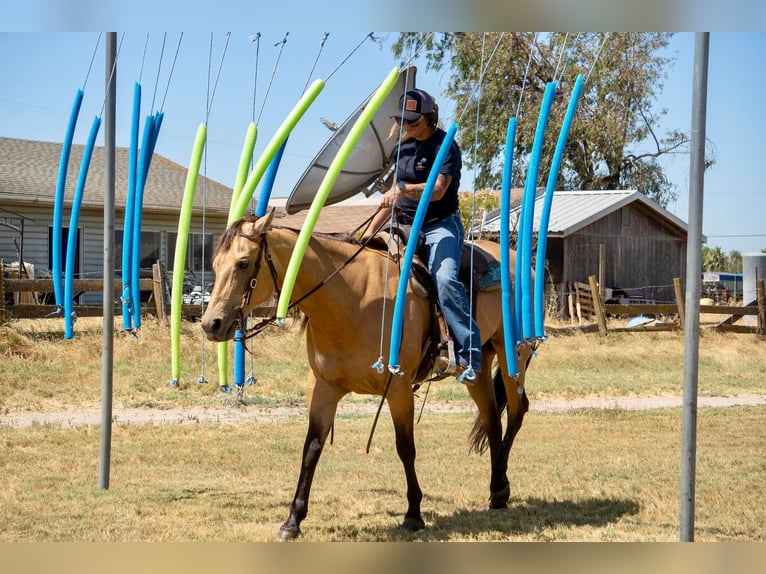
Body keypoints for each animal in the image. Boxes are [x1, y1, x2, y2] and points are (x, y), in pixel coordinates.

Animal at [200, 209, 536, 544]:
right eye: (215, 264)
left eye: (244, 263)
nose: (210, 324)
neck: (352, 300)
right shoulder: (322, 388)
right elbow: (311, 449)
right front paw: (293, 520)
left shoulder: (398, 388)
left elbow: (405, 448)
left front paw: (413, 514)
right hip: (477, 368)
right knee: (492, 418)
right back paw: (496, 490)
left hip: (513, 354)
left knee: (517, 411)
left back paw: (500, 486)